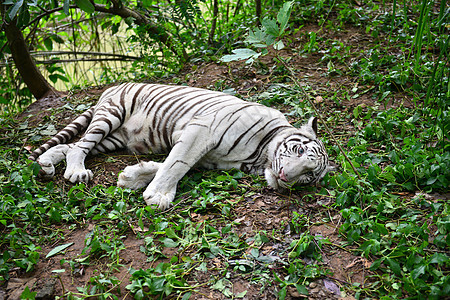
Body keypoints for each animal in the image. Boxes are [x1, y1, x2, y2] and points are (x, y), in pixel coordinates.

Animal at [29, 82, 334, 209]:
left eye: (308, 176)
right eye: (297, 151)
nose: (285, 177)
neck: (260, 155)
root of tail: (111, 87)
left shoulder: (209, 158)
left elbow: (166, 164)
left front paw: (132, 178)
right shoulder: (201, 131)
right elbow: (176, 164)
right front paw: (158, 196)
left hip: (114, 139)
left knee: (74, 145)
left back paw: (46, 163)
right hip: (111, 115)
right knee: (78, 146)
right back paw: (75, 171)